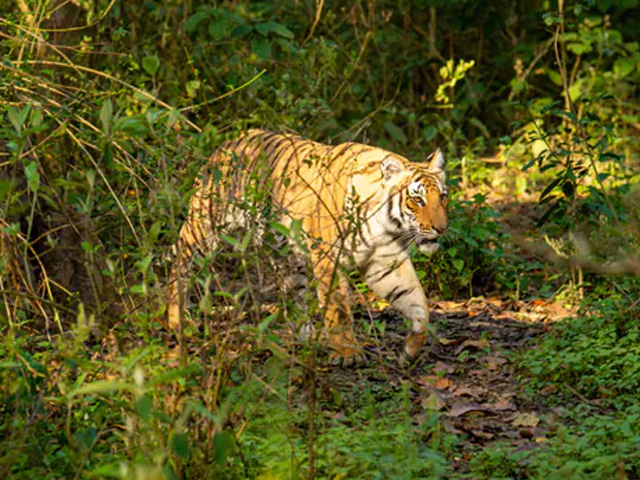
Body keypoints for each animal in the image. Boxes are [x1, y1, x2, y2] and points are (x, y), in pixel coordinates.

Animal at [167, 129, 449, 364]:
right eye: (417, 200)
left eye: (443, 197)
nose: (442, 228)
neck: (386, 226)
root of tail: (225, 144)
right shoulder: (328, 258)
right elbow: (338, 309)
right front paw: (347, 353)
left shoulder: (385, 262)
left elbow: (418, 304)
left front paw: (409, 351)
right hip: (203, 228)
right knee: (179, 262)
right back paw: (176, 321)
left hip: (288, 257)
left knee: (295, 299)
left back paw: (307, 338)